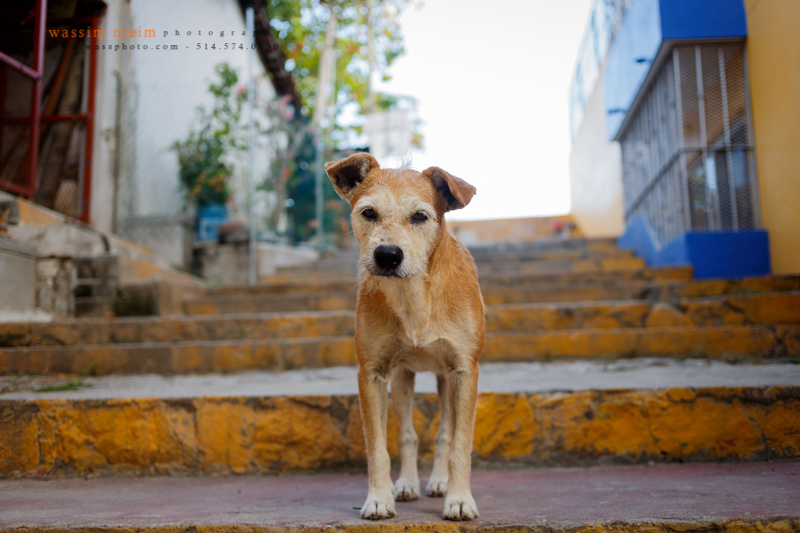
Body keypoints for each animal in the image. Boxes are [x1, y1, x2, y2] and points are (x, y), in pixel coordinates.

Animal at [325, 153, 485, 521]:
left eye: (420, 216)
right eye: (368, 212)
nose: (387, 254)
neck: (413, 295)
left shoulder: (464, 371)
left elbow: (459, 443)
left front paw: (459, 499)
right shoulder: (371, 373)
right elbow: (378, 447)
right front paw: (379, 498)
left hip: (445, 380)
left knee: (444, 434)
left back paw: (439, 482)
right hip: (402, 379)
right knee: (409, 435)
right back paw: (408, 484)